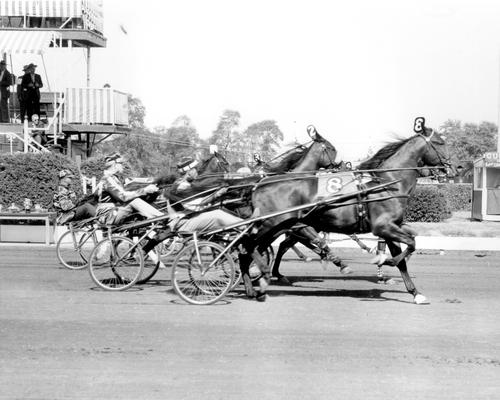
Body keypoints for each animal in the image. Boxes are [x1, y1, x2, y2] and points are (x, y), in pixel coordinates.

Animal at [246, 119, 454, 304]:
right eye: (440, 143)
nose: (453, 168)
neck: (387, 183)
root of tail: (260, 185)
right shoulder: (383, 227)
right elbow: (410, 244)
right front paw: (383, 261)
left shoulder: (391, 227)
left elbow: (404, 254)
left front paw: (415, 293)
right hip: (274, 224)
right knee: (250, 247)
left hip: (285, 226)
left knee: (266, 246)